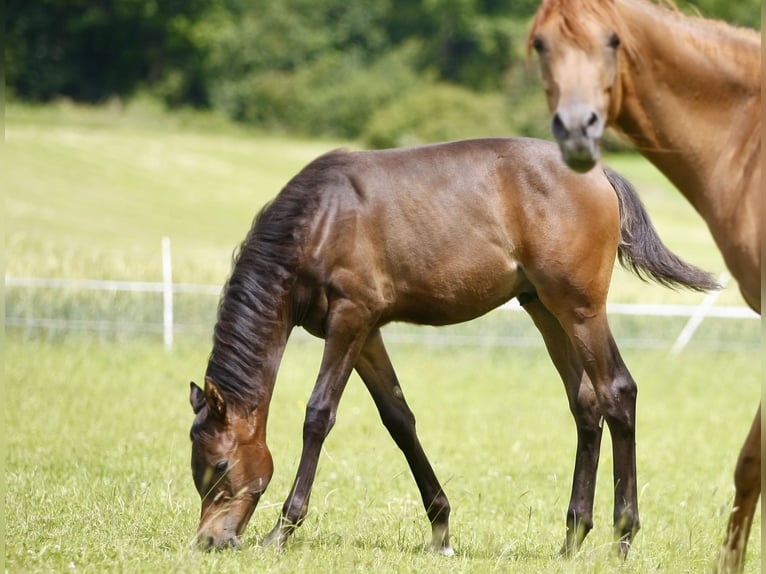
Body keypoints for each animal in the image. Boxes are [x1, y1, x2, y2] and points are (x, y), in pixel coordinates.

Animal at [189, 138, 716, 560]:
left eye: (220, 465)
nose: (210, 541)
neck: (319, 220)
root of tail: (602, 174)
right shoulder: (366, 332)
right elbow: (399, 419)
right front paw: (441, 528)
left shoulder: (350, 319)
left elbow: (319, 415)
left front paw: (281, 530)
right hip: (546, 308)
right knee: (586, 404)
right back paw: (571, 539)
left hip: (581, 308)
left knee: (617, 392)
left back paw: (622, 538)